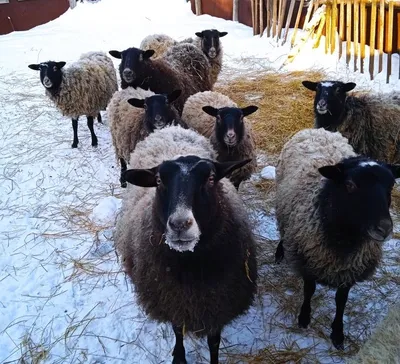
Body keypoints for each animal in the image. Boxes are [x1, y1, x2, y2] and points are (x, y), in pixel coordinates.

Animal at [115, 126, 260, 364]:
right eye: (158, 181)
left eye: (211, 178)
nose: (180, 224)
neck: (192, 267)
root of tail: (170, 128)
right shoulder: (173, 298)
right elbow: (177, 330)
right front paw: (179, 356)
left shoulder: (219, 303)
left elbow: (214, 341)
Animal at [274, 127, 400, 350]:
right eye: (350, 185)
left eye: (391, 185)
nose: (384, 228)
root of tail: (318, 129)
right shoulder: (309, 259)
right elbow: (309, 290)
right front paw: (304, 318)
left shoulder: (350, 269)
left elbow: (341, 300)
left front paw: (338, 333)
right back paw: (280, 251)